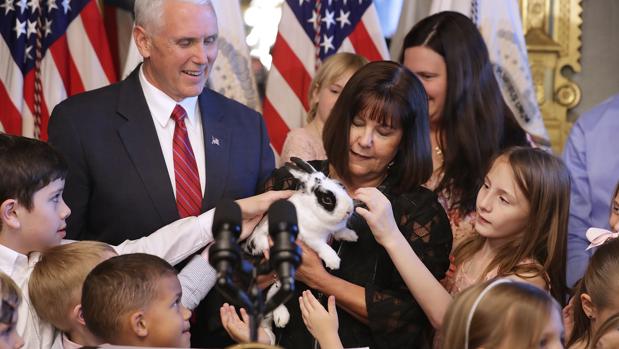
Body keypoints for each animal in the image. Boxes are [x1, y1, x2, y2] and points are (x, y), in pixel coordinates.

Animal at [245, 158, 356, 326]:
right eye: (327, 199)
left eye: (340, 186)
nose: (349, 211)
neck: (312, 210)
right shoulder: (310, 237)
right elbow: (322, 246)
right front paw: (334, 261)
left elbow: (340, 232)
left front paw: (352, 236)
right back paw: (281, 318)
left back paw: (281, 318)